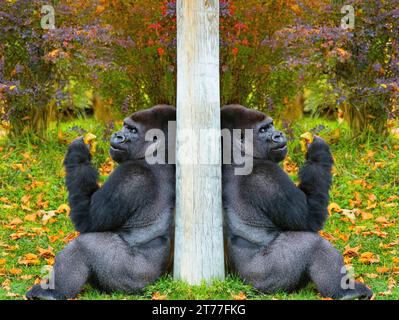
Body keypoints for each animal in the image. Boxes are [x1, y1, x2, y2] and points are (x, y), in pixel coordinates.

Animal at [25, 105, 175, 300]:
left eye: (133, 130)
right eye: (125, 126)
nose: (118, 135)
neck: (159, 154)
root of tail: (156, 282)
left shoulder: (130, 175)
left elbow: (86, 220)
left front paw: (78, 154)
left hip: (134, 279)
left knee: (86, 245)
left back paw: (49, 293)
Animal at [220, 105, 374, 300]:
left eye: (270, 125)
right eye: (263, 130)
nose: (278, 134)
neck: (235, 155)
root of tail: (242, 283)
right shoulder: (268, 174)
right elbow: (311, 219)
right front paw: (318, 152)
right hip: (264, 279)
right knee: (312, 244)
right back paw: (346, 292)